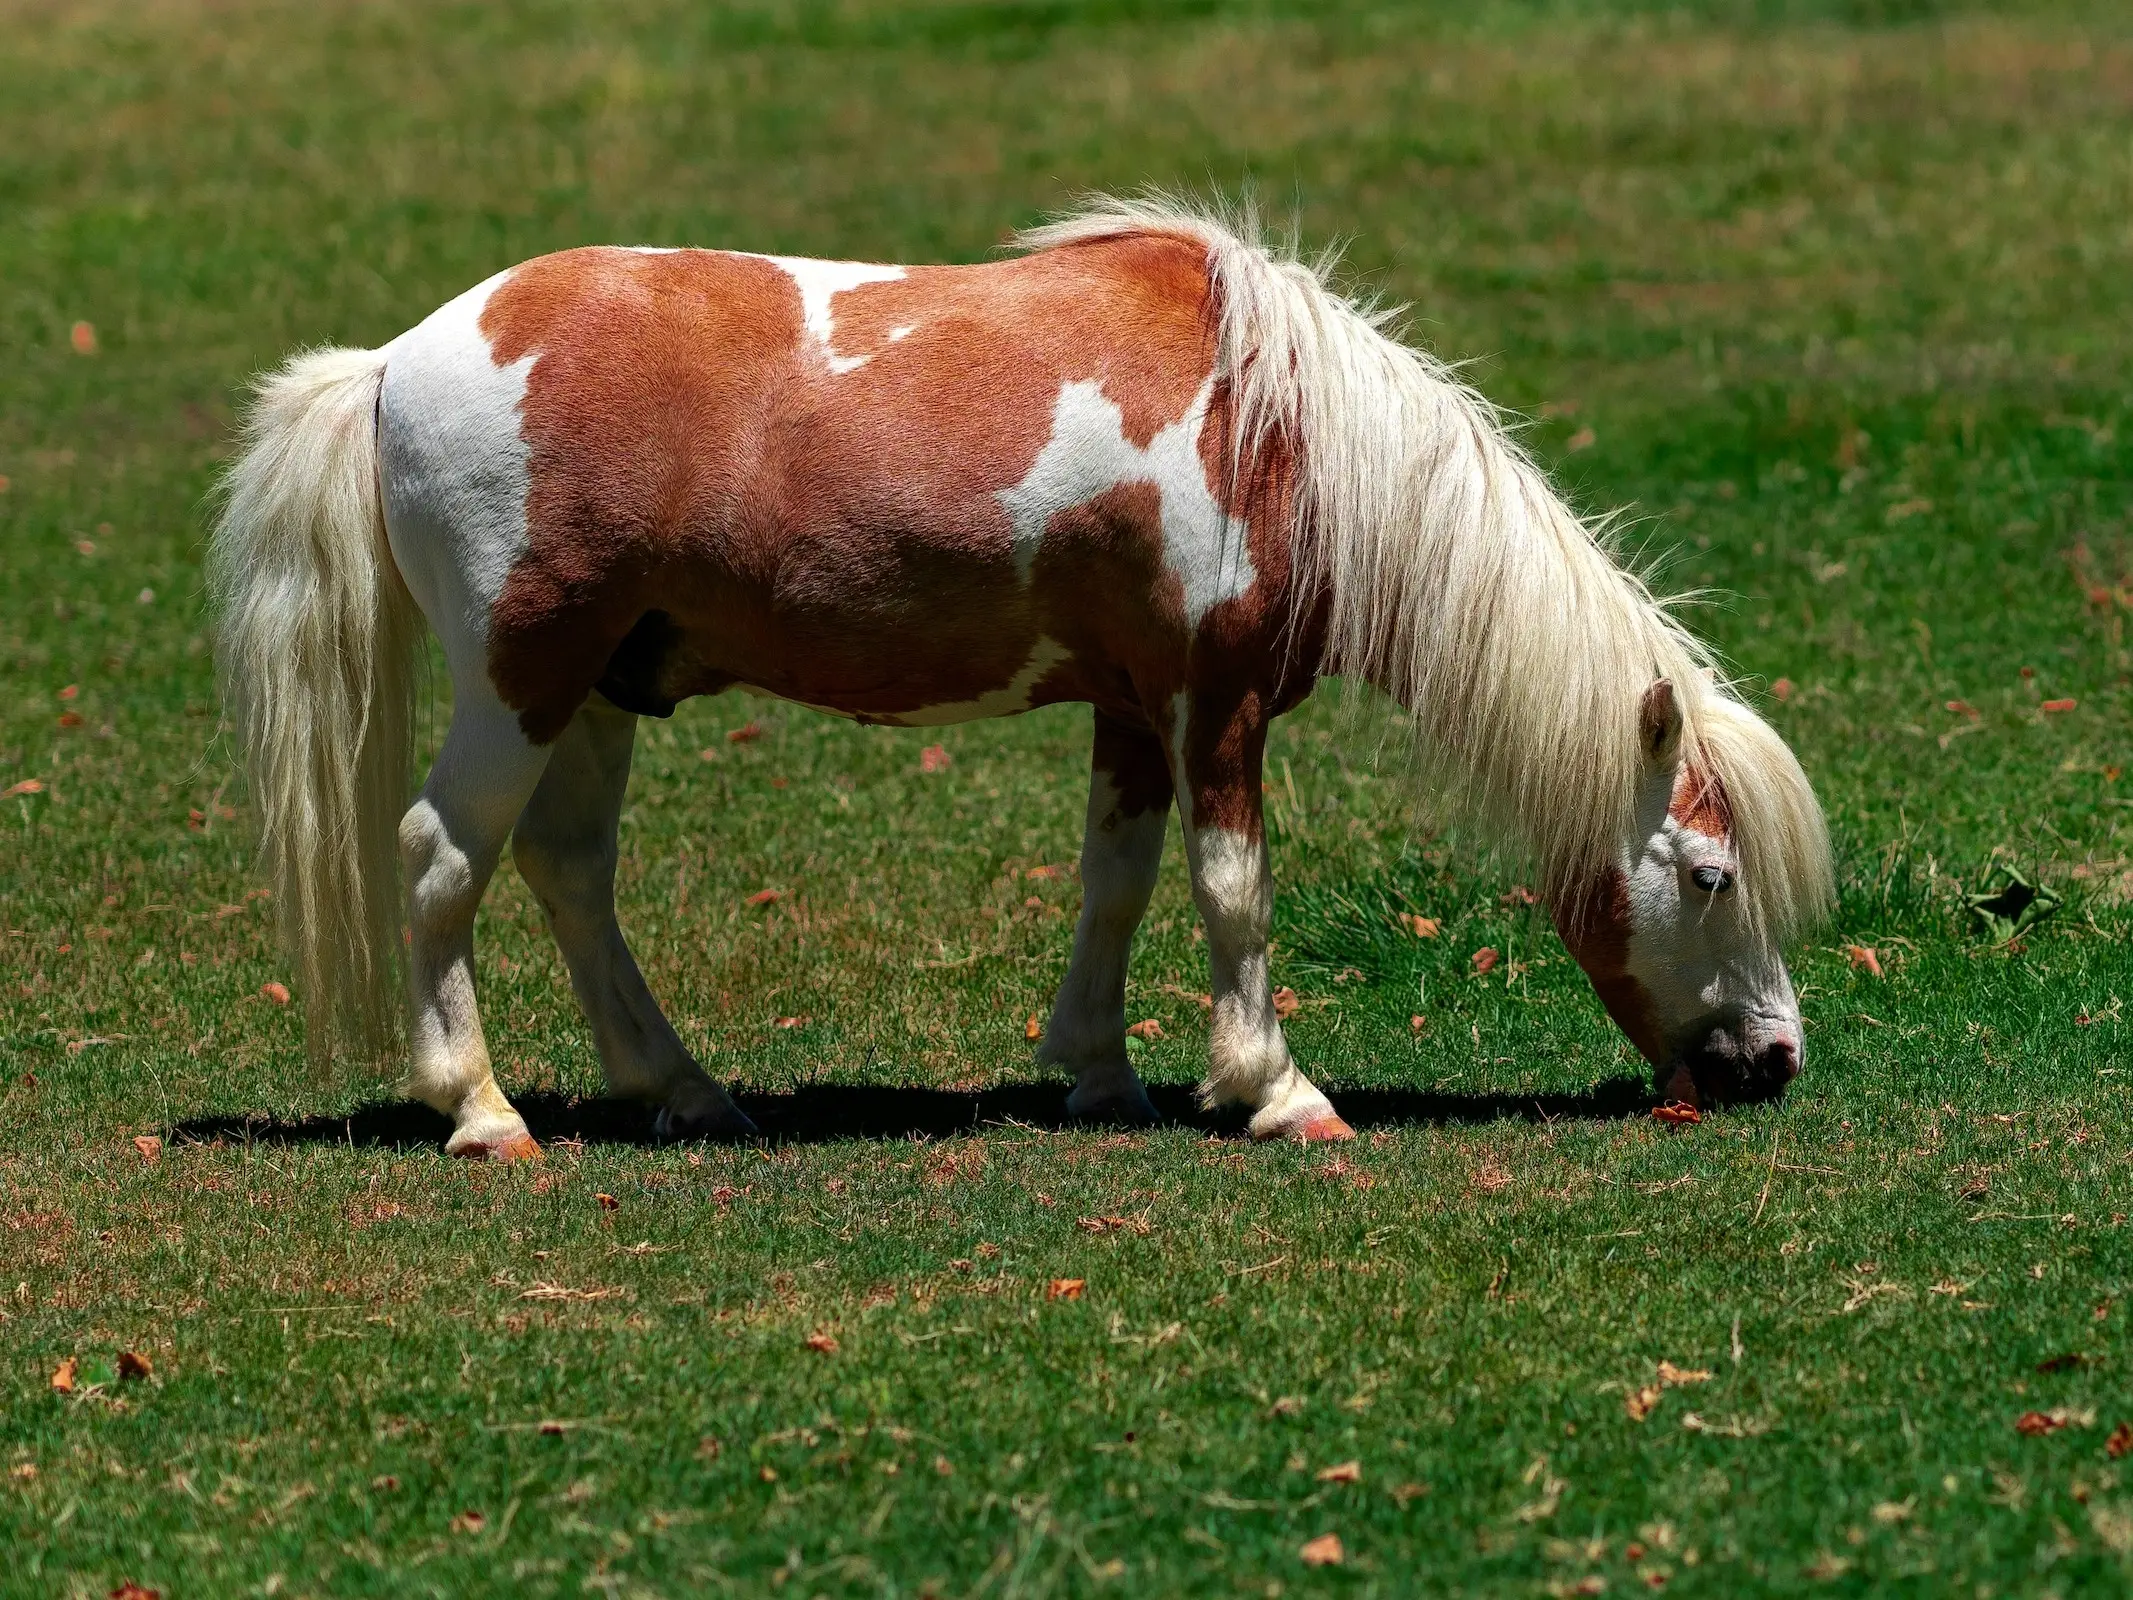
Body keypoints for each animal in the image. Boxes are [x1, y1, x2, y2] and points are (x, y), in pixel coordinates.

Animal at [207, 197, 1834, 1169]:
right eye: (1705, 874)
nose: (1773, 1059)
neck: (1276, 429)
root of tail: (393, 362)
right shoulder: (1217, 703)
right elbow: (1233, 889)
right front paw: (1276, 1090)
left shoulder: (1132, 707)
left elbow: (1115, 881)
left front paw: (1101, 1075)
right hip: (521, 680)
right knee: (442, 858)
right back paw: (481, 1114)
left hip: (604, 688)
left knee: (567, 870)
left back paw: (681, 1090)